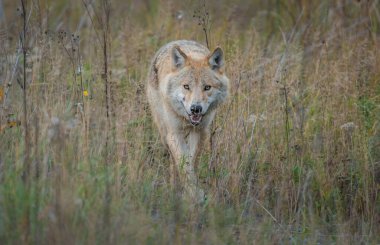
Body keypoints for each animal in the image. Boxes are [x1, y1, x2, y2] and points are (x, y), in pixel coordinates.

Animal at [146, 40, 229, 201]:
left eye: (207, 87)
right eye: (186, 86)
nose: (195, 108)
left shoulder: (200, 132)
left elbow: (192, 162)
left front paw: (191, 192)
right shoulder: (174, 134)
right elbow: (183, 164)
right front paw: (193, 194)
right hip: (164, 134)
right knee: (173, 161)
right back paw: (174, 186)